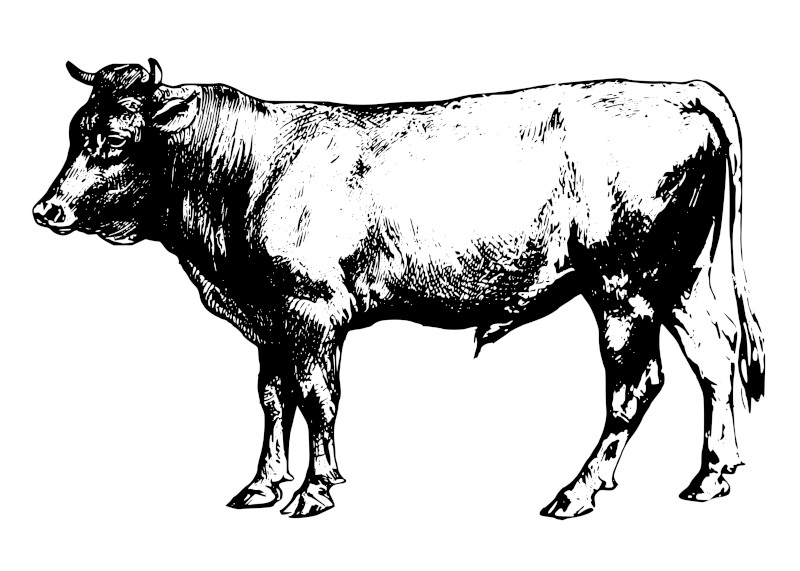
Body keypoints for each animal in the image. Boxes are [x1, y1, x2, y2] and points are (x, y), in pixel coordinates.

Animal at [33, 59, 764, 519]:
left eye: (116, 140)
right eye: (75, 133)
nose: (47, 210)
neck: (244, 170)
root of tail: (681, 88)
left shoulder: (311, 311)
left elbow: (317, 399)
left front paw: (314, 489)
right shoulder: (269, 319)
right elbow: (272, 397)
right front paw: (263, 484)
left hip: (622, 283)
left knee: (635, 383)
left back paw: (578, 492)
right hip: (685, 279)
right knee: (715, 357)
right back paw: (712, 475)